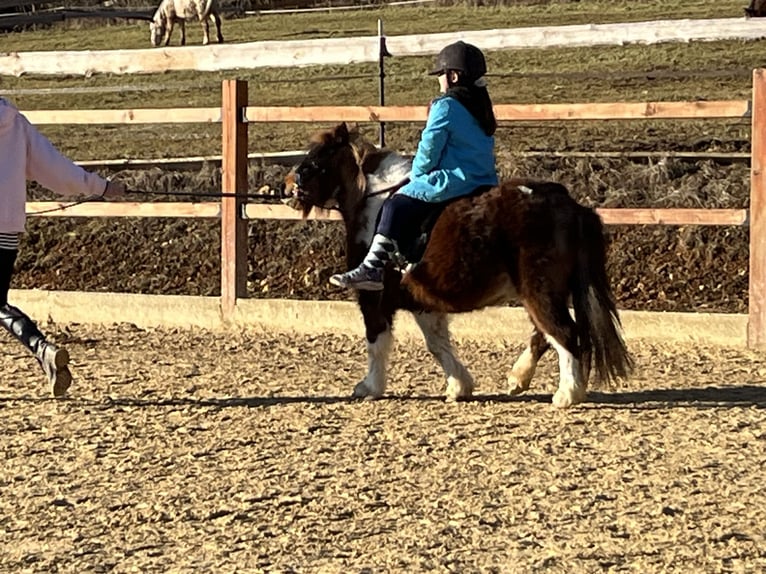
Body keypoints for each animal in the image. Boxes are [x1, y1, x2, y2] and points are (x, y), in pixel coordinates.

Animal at [284, 122, 632, 410]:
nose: (287, 187)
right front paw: (459, 386)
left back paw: (566, 394)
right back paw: (518, 378)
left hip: (540, 291)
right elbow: (437, 344)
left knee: (563, 334)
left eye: (313, 161)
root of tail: (571, 205)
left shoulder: (375, 298)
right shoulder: (422, 301)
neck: (372, 200)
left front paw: (370, 387)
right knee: (544, 334)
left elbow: (377, 342)